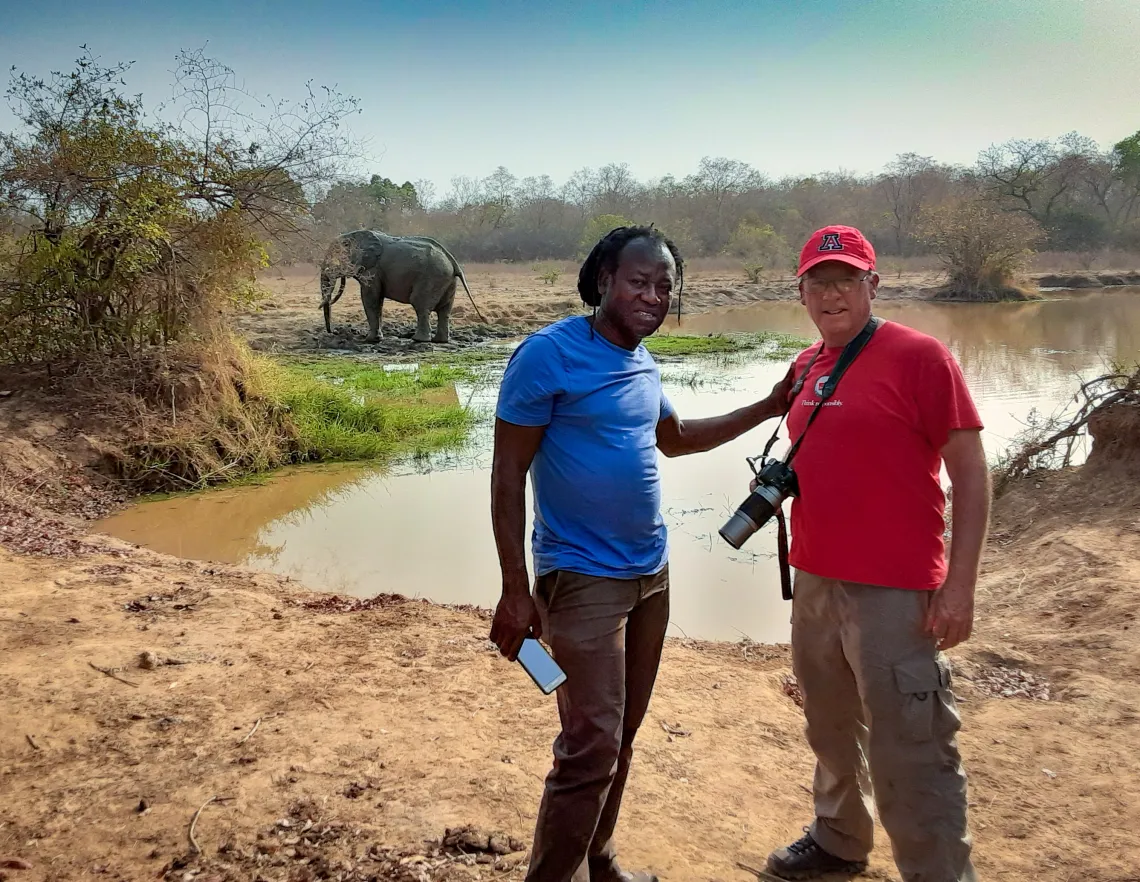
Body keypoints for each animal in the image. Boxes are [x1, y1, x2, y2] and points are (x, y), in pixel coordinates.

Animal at [319, 230, 483, 344]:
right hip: (447, 281)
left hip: (432, 277)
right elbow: (377, 301)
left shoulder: (373, 269)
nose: (333, 332)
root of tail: (453, 262)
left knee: (420, 304)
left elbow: (370, 299)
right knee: (444, 310)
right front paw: (376, 339)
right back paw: (439, 341)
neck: (355, 234)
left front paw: (370, 340)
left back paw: (418, 340)